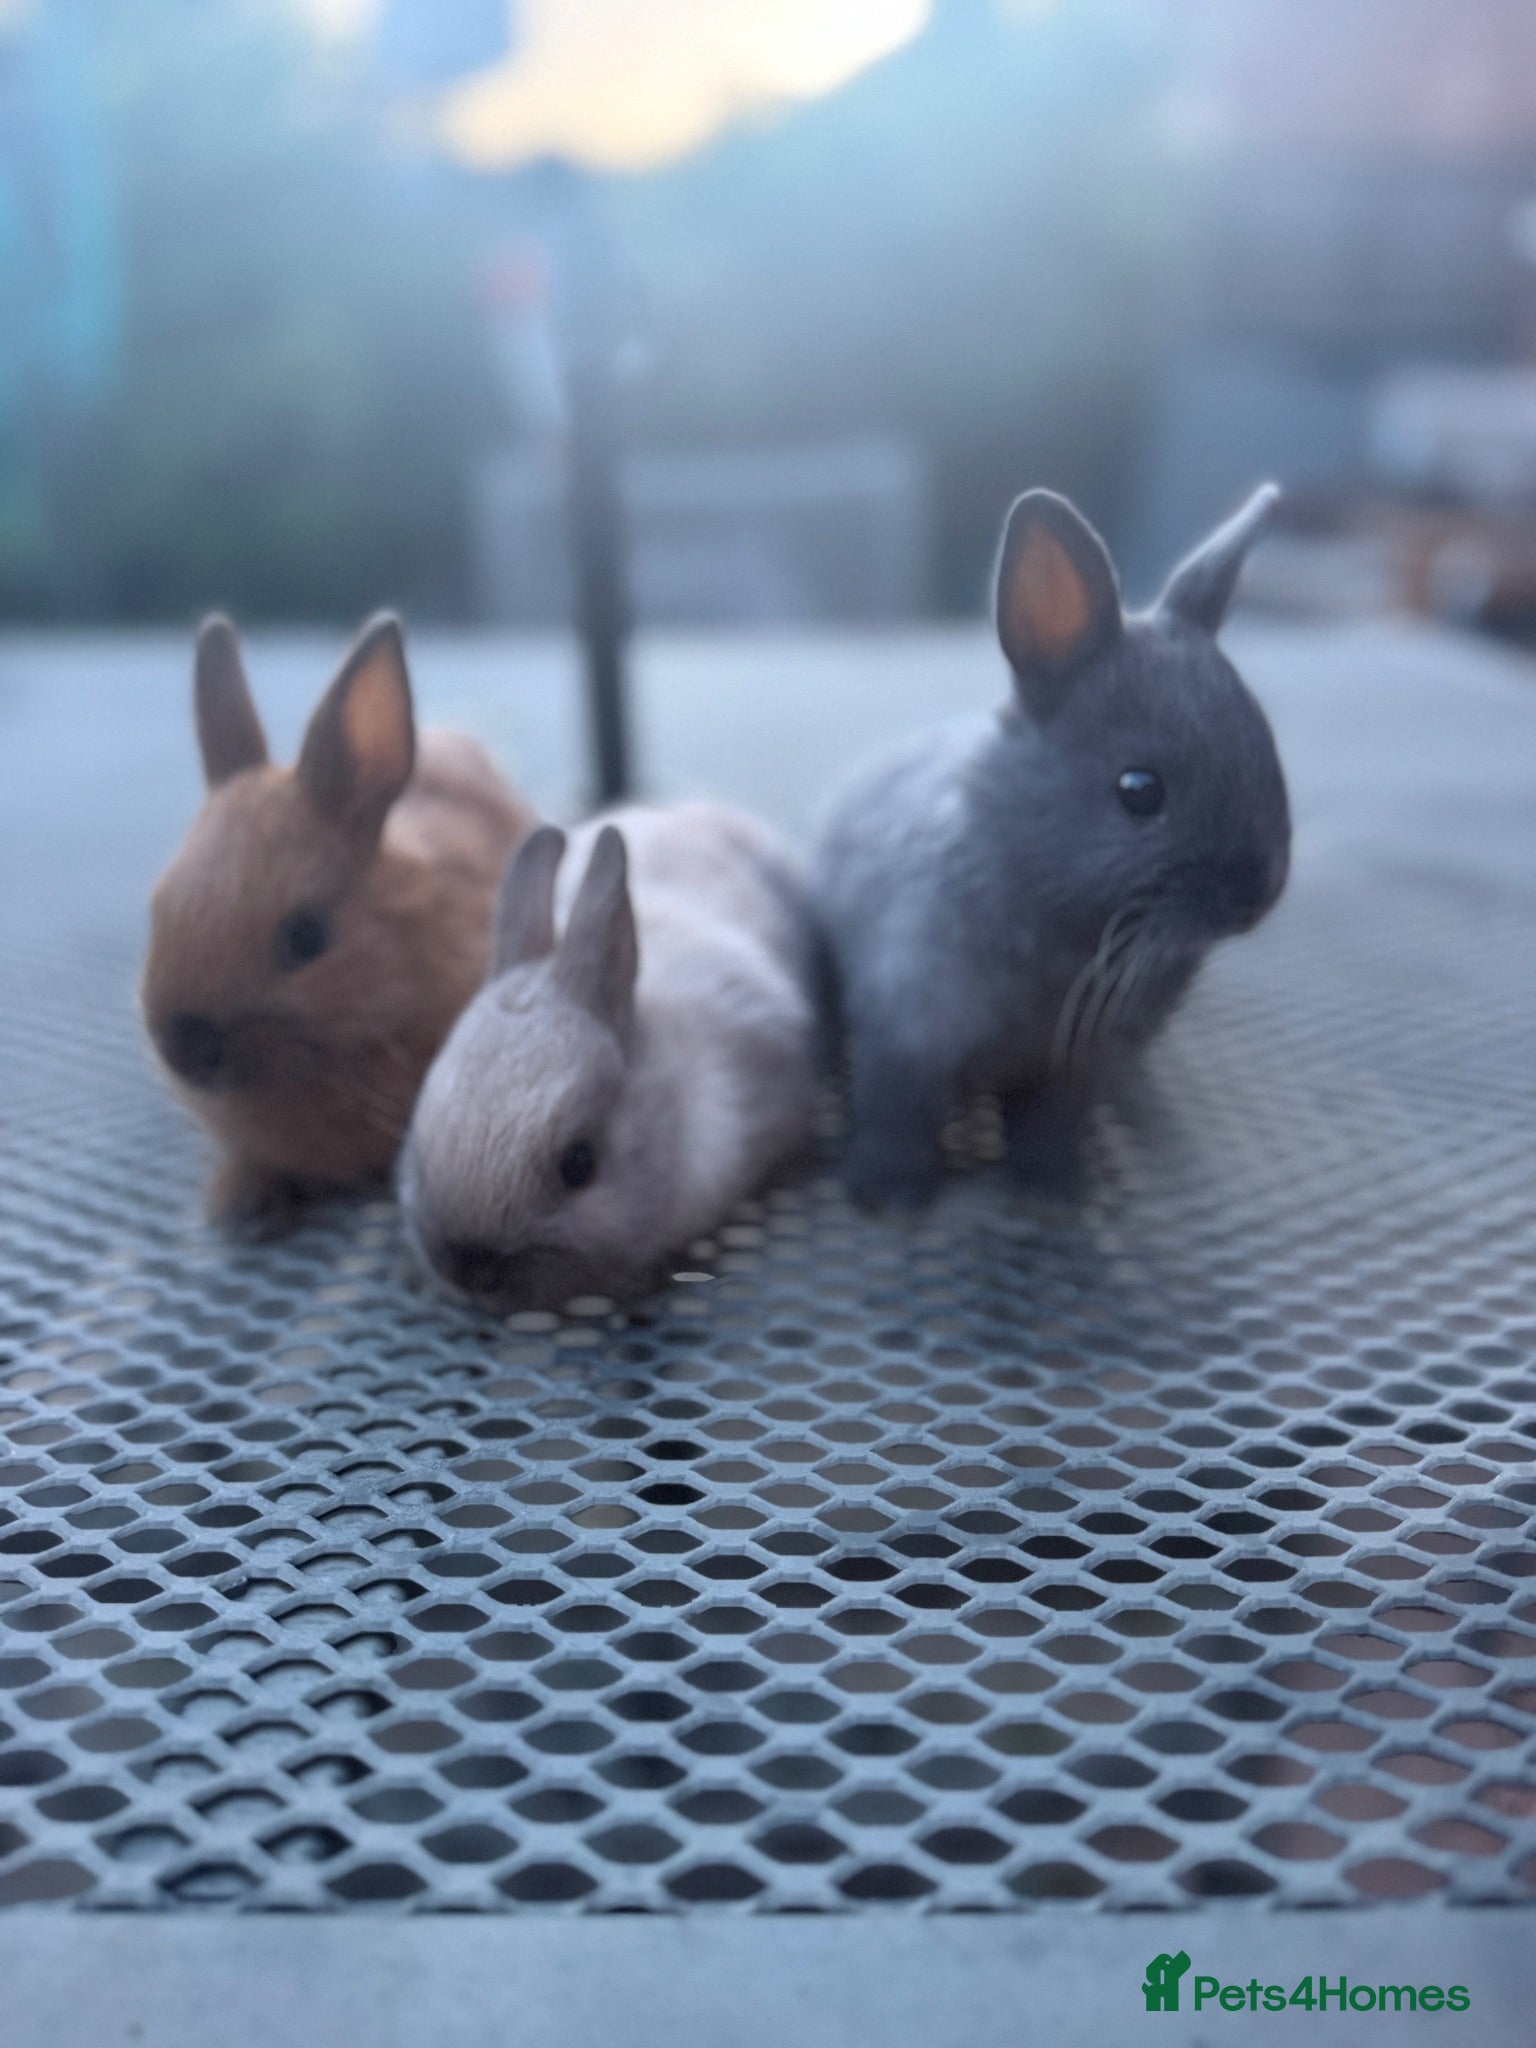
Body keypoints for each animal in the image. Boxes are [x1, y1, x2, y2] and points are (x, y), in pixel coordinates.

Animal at [813, 483, 1291, 1210]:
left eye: (1266, 747)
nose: (1257, 894)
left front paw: (1055, 1185)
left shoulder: (1075, 1064)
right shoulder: (905, 1029)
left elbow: (1055, 1117)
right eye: (1139, 789)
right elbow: (897, 1108)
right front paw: (888, 1192)